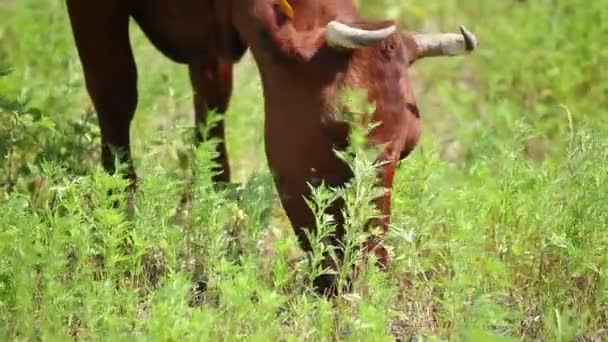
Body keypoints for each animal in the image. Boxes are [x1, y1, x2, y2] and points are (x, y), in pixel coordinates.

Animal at [66, 0, 476, 296]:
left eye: (408, 147)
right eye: (339, 136)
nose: (367, 267)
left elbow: (212, 110)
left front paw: (214, 208)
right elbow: (116, 91)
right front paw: (118, 218)